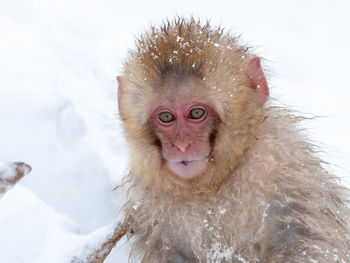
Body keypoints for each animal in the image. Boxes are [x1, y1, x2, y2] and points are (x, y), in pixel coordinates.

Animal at [117, 17, 350, 262]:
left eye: (196, 113)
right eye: (166, 117)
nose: (182, 145)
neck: (213, 185)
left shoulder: (281, 164)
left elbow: (309, 241)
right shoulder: (151, 207)